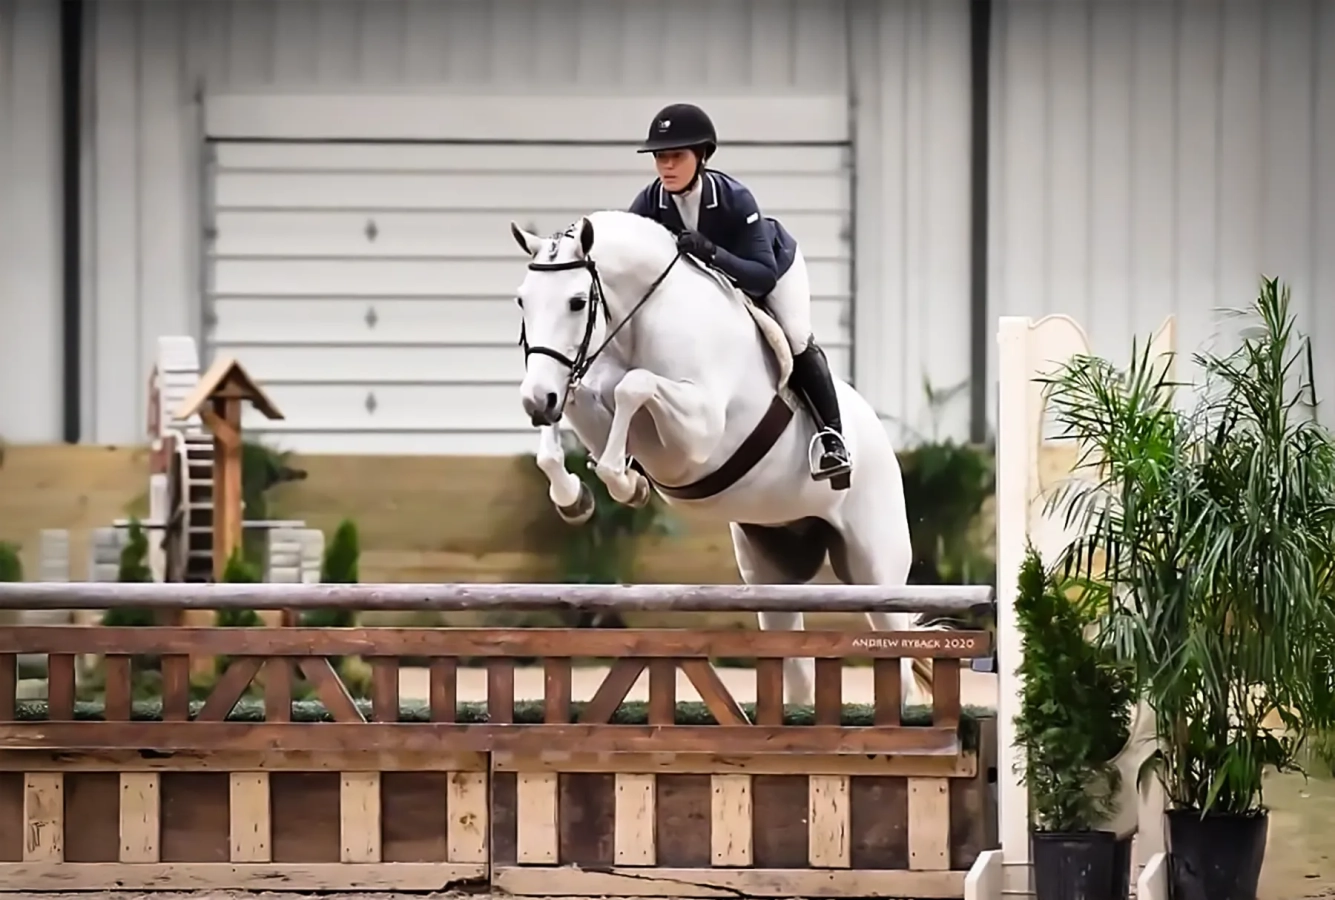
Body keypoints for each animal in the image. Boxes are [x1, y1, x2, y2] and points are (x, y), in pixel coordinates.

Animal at [509, 210, 934, 709]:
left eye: (577, 302)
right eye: (522, 300)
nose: (535, 401)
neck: (639, 318)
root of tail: (881, 441)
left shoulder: (698, 433)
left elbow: (633, 385)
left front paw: (621, 481)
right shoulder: (585, 391)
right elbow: (577, 410)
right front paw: (580, 496)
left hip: (875, 569)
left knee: (898, 663)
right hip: (772, 575)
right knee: (798, 672)